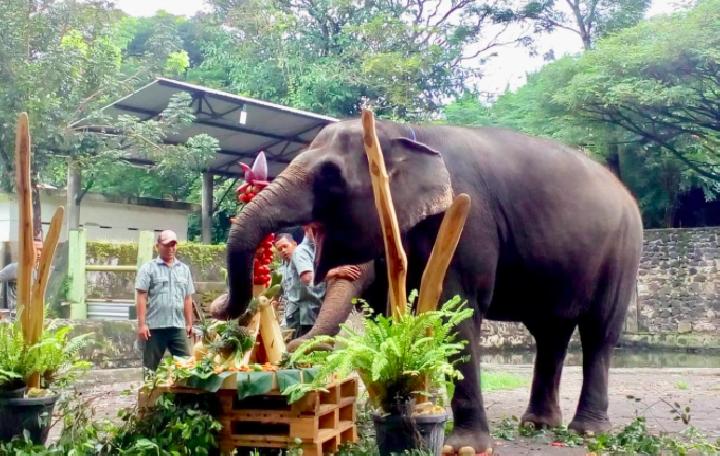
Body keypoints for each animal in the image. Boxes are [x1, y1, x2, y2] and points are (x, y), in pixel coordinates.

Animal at [211, 119, 644, 454]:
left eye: (331, 175)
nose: (217, 308)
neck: (404, 133)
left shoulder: (467, 225)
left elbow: (457, 313)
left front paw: (463, 447)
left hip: (623, 251)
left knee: (598, 333)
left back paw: (587, 431)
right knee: (550, 335)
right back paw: (537, 425)